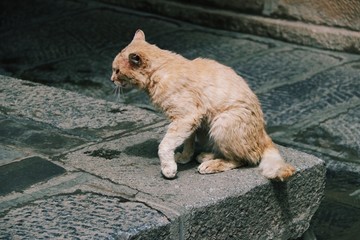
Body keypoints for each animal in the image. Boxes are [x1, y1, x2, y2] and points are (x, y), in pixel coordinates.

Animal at [112, 29, 296, 180]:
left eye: (117, 71)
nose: (111, 79)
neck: (161, 70)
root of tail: (264, 134)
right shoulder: (190, 121)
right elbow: (187, 142)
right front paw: (185, 157)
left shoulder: (186, 117)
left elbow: (164, 145)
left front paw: (168, 168)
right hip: (208, 126)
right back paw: (206, 156)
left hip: (222, 123)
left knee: (244, 159)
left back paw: (211, 164)